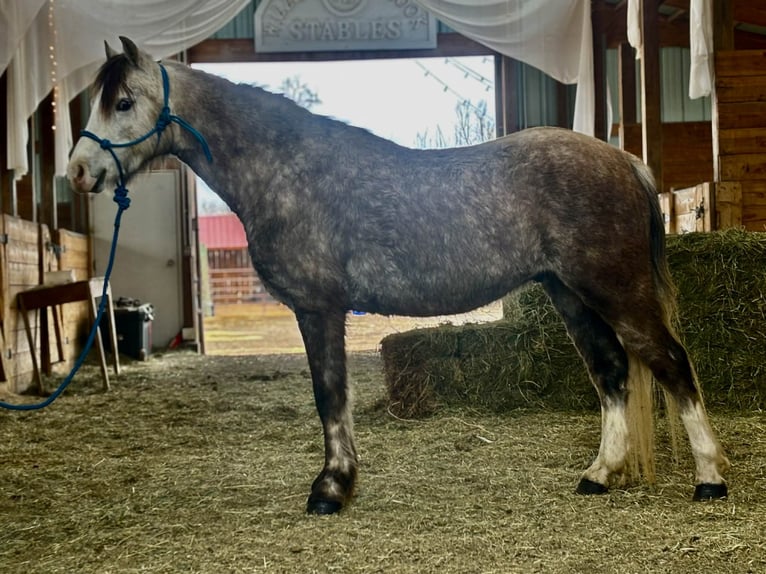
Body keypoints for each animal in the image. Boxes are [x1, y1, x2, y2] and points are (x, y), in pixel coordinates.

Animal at [67, 37, 730, 514]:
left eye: (122, 102)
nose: (77, 171)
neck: (288, 170)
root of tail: (624, 160)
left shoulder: (319, 308)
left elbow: (329, 395)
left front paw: (331, 489)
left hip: (615, 291)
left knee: (672, 363)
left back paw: (710, 479)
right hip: (570, 295)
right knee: (612, 371)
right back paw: (599, 475)